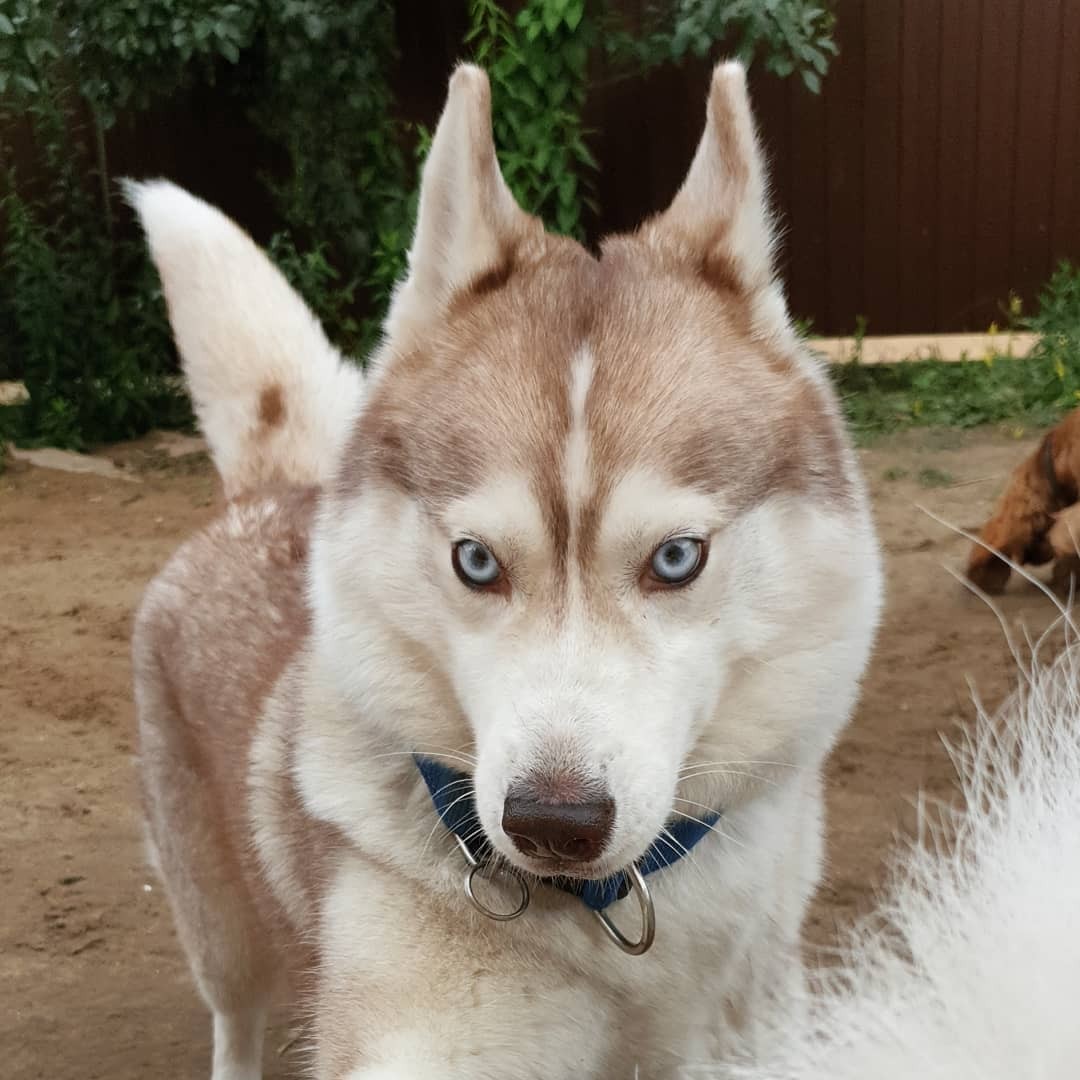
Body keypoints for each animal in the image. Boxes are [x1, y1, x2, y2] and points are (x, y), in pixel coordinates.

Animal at [130, 63, 881, 1075]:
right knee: (235, 1016)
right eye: (477, 560)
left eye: (676, 557)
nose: (553, 824)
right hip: (220, 931)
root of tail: (275, 488)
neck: (616, 920)